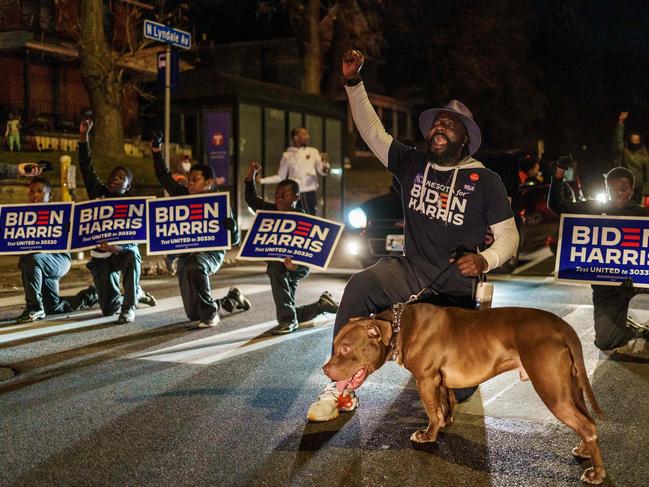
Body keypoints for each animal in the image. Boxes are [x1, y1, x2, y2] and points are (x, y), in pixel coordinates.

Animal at [324, 304, 608, 486]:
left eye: (346, 348)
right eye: (334, 346)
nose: (324, 369)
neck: (399, 327)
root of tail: (562, 325)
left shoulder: (426, 379)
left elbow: (431, 411)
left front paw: (428, 435)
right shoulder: (440, 380)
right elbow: (445, 402)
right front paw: (446, 422)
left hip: (552, 391)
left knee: (586, 425)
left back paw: (596, 474)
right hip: (570, 388)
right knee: (587, 422)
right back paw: (584, 450)